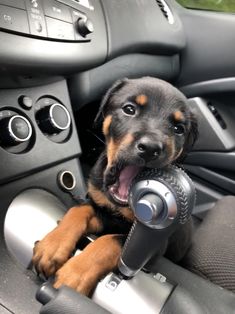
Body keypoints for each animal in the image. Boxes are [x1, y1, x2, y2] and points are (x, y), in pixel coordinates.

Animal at [32, 77, 197, 296]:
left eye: (178, 129)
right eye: (129, 109)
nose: (150, 148)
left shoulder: (153, 246)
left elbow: (110, 241)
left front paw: (74, 274)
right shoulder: (103, 211)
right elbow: (79, 209)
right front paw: (52, 245)